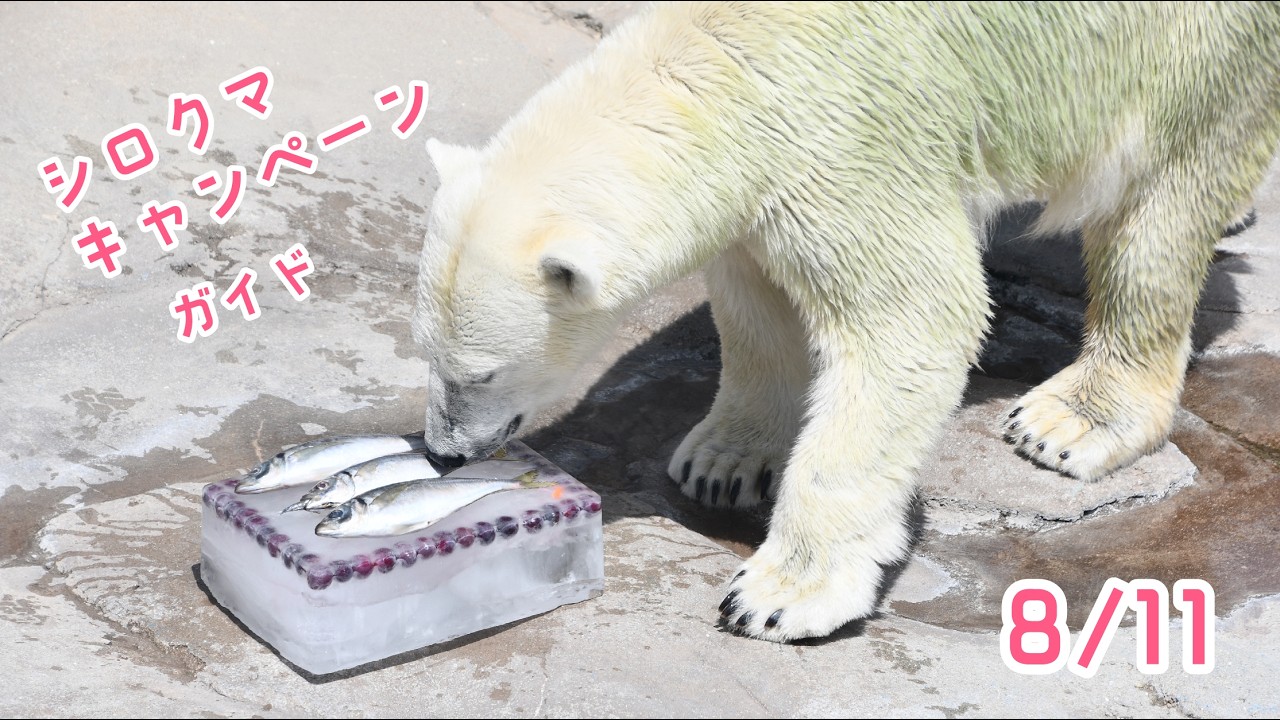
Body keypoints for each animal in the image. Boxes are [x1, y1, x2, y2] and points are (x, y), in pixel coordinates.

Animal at [411, 1, 1280, 641]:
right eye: (427, 354)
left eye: (481, 371)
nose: (445, 450)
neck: (724, 69)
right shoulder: (761, 189)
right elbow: (755, 307)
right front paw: (724, 459)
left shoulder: (843, 141)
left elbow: (914, 318)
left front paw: (780, 595)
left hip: (1187, 44)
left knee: (1156, 203)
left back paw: (1073, 419)